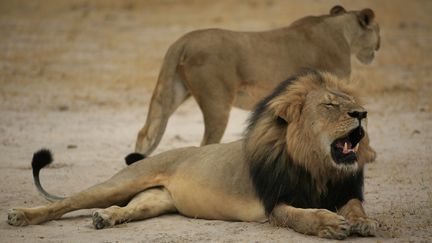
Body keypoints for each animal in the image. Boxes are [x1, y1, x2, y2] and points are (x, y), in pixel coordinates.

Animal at [7, 71, 378, 239]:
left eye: (350, 102)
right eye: (330, 105)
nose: (362, 113)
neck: (317, 166)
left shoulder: (343, 190)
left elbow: (355, 206)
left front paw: (364, 222)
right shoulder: (275, 203)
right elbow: (302, 216)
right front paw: (329, 223)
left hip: (154, 200)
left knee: (126, 209)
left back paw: (105, 218)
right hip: (120, 183)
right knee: (65, 203)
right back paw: (21, 216)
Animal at [132, 5, 382, 161]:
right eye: (377, 30)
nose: (379, 45)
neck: (341, 30)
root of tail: (182, 41)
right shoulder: (334, 87)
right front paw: (367, 154)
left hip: (171, 92)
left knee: (146, 132)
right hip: (217, 102)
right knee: (206, 143)